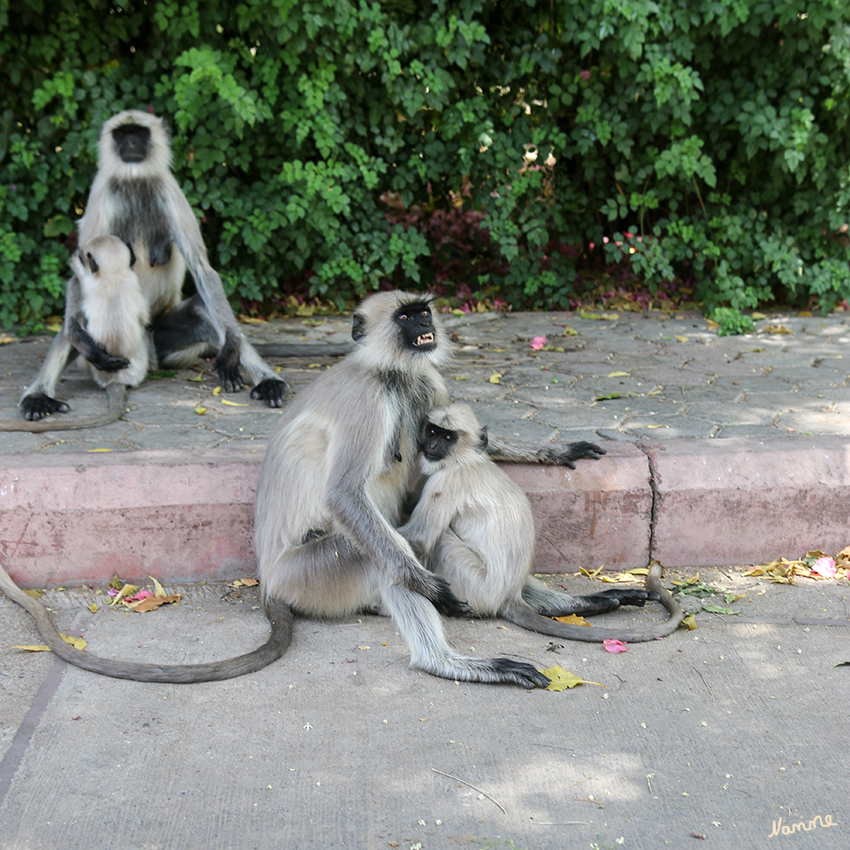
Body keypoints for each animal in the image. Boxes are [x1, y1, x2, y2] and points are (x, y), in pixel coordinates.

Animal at [16, 109, 286, 424]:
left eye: (140, 133)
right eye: (122, 134)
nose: (131, 142)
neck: (135, 181)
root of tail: (150, 365)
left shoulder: (169, 188)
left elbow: (203, 269)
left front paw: (232, 347)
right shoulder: (102, 193)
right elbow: (76, 278)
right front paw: (74, 335)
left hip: (167, 342)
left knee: (203, 308)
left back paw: (266, 380)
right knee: (72, 327)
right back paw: (37, 395)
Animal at [398, 400, 684, 640]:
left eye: (447, 437)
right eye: (432, 431)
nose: (431, 446)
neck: (468, 460)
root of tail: (509, 597)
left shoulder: (447, 479)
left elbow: (421, 539)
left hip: (476, 584)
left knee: (441, 539)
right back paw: (591, 603)